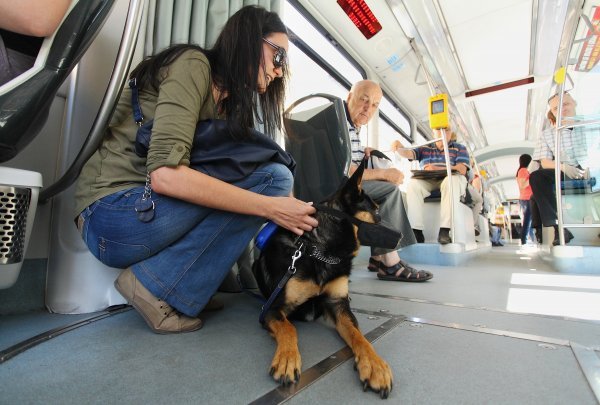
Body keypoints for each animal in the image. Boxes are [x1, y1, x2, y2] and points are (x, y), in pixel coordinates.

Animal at [253, 158, 394, 398]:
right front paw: (287, 358)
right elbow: (288, 329)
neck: (319, 249)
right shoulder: (272, 309)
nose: (402, 237)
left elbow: (360, 336)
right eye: (377, 212)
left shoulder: (338, 305)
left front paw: (375, 365)